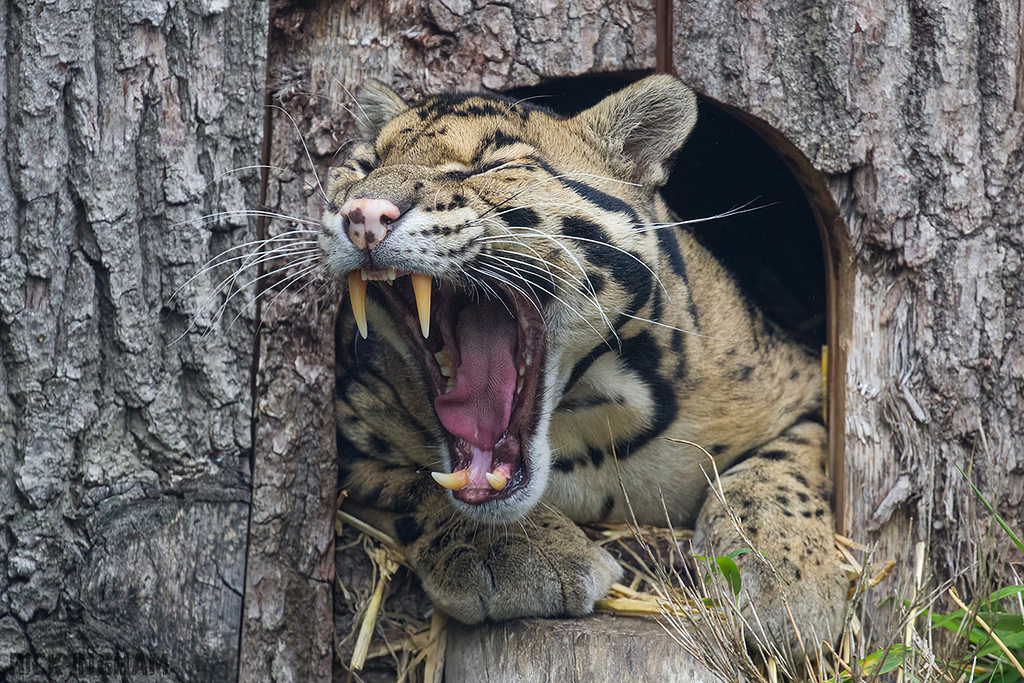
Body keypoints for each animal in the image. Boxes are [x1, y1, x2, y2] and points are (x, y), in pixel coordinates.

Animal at [319, 73, 848, 657]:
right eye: (363, 167)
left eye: (490, 165)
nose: (363, 214)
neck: (584, 419)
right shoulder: (346, 425)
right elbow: (412, 480)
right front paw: (515, 554)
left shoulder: (803, 382)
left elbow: (779, 468)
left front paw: (783, 577)